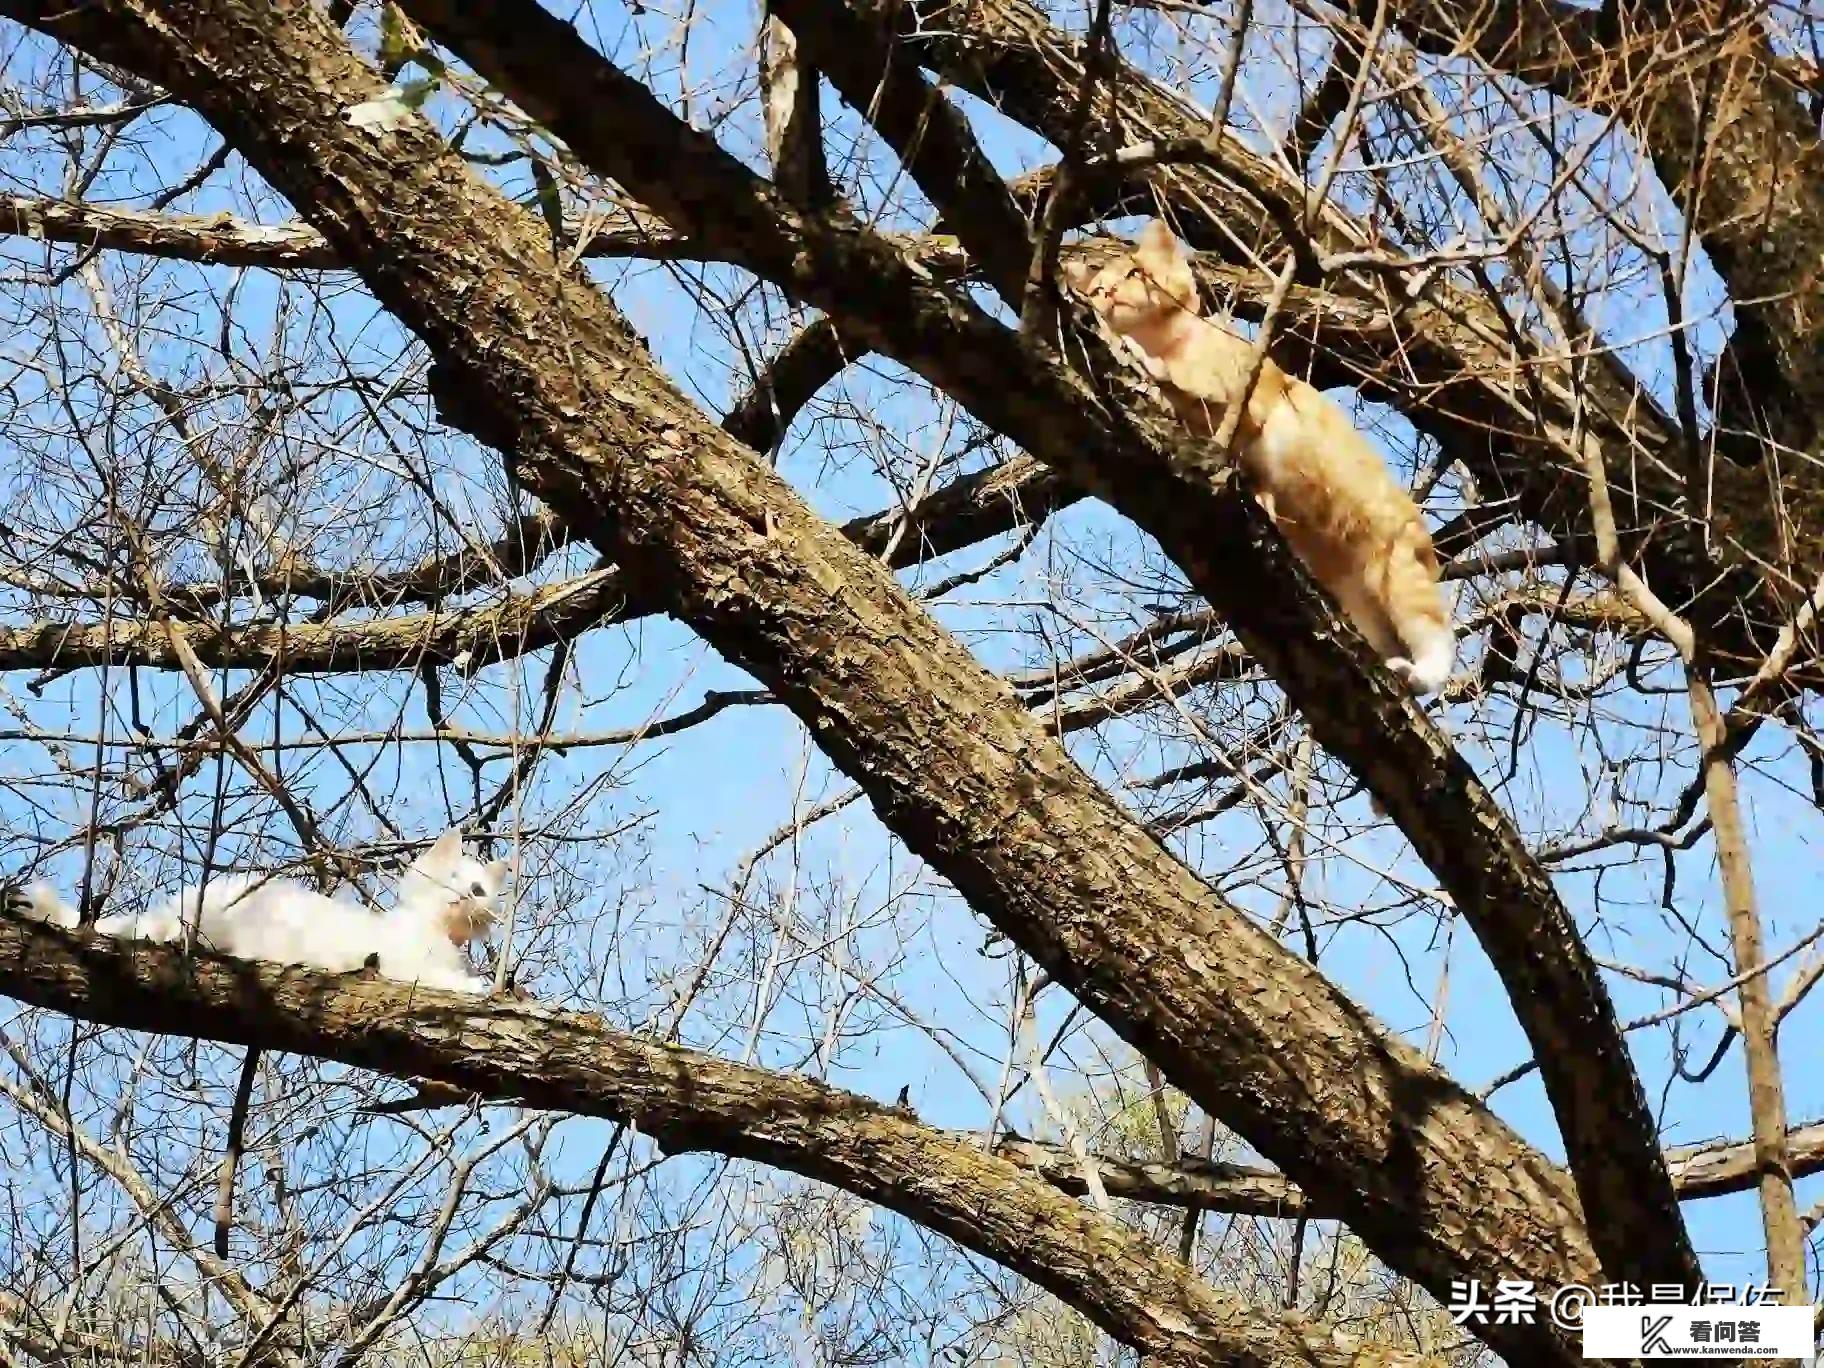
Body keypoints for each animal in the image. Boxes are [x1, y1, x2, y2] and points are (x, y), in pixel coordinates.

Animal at [8, 835, 507, 999]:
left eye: (478, 890)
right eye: (450, 878)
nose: (461, 896)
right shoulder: (402, 964)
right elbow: (442, 979)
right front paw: (477, 986)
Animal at [1065, 228, 1451, 696]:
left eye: (1136, 273)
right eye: (1098, 288)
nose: (1108, 295)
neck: (1169, 341)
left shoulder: (1247, 392)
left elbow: (1191, 384)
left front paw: (1136, 354)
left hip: (1398, 569)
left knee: (1437, 636)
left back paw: (1422, 671)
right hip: (1358, 596)